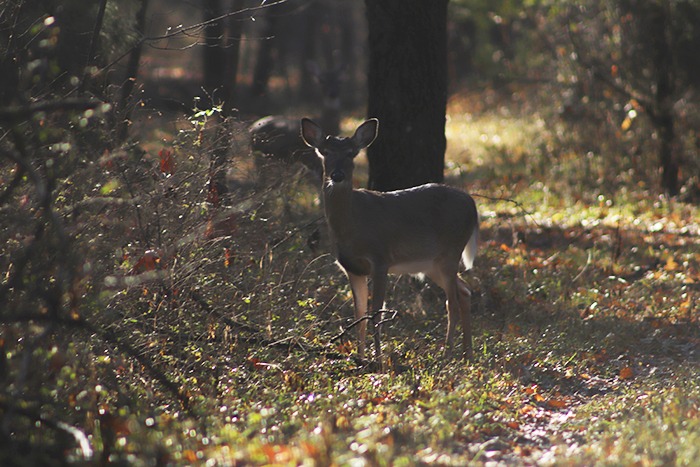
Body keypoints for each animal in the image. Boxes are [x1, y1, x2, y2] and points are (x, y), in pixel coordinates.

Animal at [300, 117, 476, 362]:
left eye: (351, 153)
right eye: (324, 152)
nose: (337, 175)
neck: (353, 225)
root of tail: (473, 205)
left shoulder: (380, 259)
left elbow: (376, 314)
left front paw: (378, 359)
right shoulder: (352, 268)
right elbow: (359, 314)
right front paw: (360, 357)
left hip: (451, 251)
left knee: (452, 304)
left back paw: (447, 355)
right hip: (432, 264)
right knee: (465, 291)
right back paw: (468, 355)